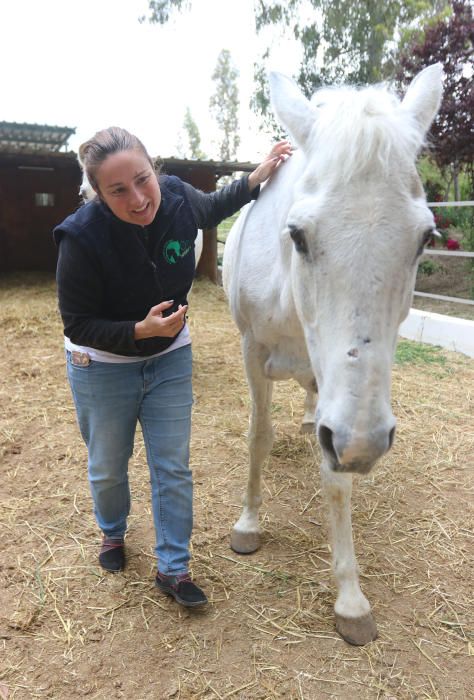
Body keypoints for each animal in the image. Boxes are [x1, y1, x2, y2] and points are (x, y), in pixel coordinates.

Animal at [224, 65, 442, 644]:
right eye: (297, 235)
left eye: (425, 237)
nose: (363, 445)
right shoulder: (252, 350)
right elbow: (258, 435)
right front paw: (249, 524)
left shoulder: (344, 406)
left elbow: (336, 478)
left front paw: (350, 598)